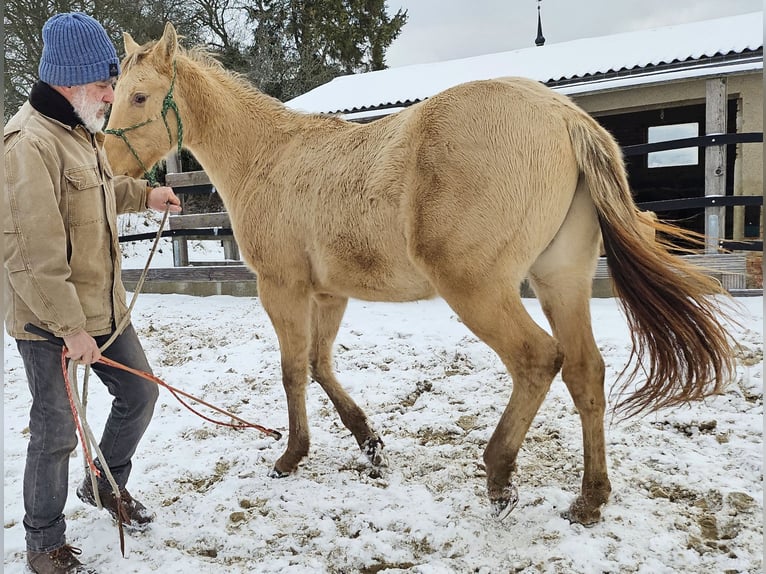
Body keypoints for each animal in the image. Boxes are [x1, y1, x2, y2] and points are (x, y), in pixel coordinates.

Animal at [104, 22, 735, 525]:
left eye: (139, 96)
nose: (107, 172)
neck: (268, 157)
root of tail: (562, 115)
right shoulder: (328, 295)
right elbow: (320, 365)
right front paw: (369, 443)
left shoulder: (282, 288)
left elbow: (292, 371)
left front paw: (291, 456)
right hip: (561, 279)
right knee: (585, 371)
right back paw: (589, 498)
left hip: (478, 289)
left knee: (537, 360)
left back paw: (499, 475)